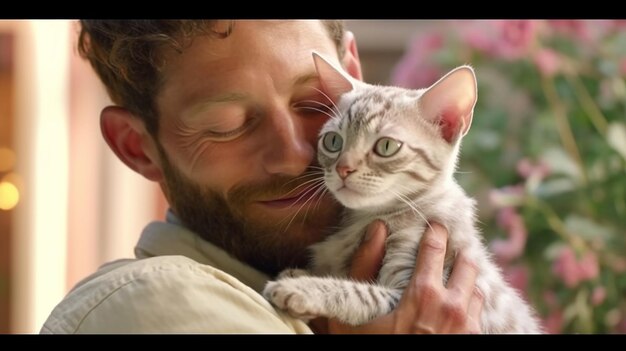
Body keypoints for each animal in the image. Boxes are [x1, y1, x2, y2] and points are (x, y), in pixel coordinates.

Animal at [260, 51, 540, 334]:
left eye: (386, 146)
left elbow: (359, 294)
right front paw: (298, 275)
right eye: (333, 141)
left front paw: (301, 289)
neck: (365, 218)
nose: (343, 168)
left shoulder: (411, 295)